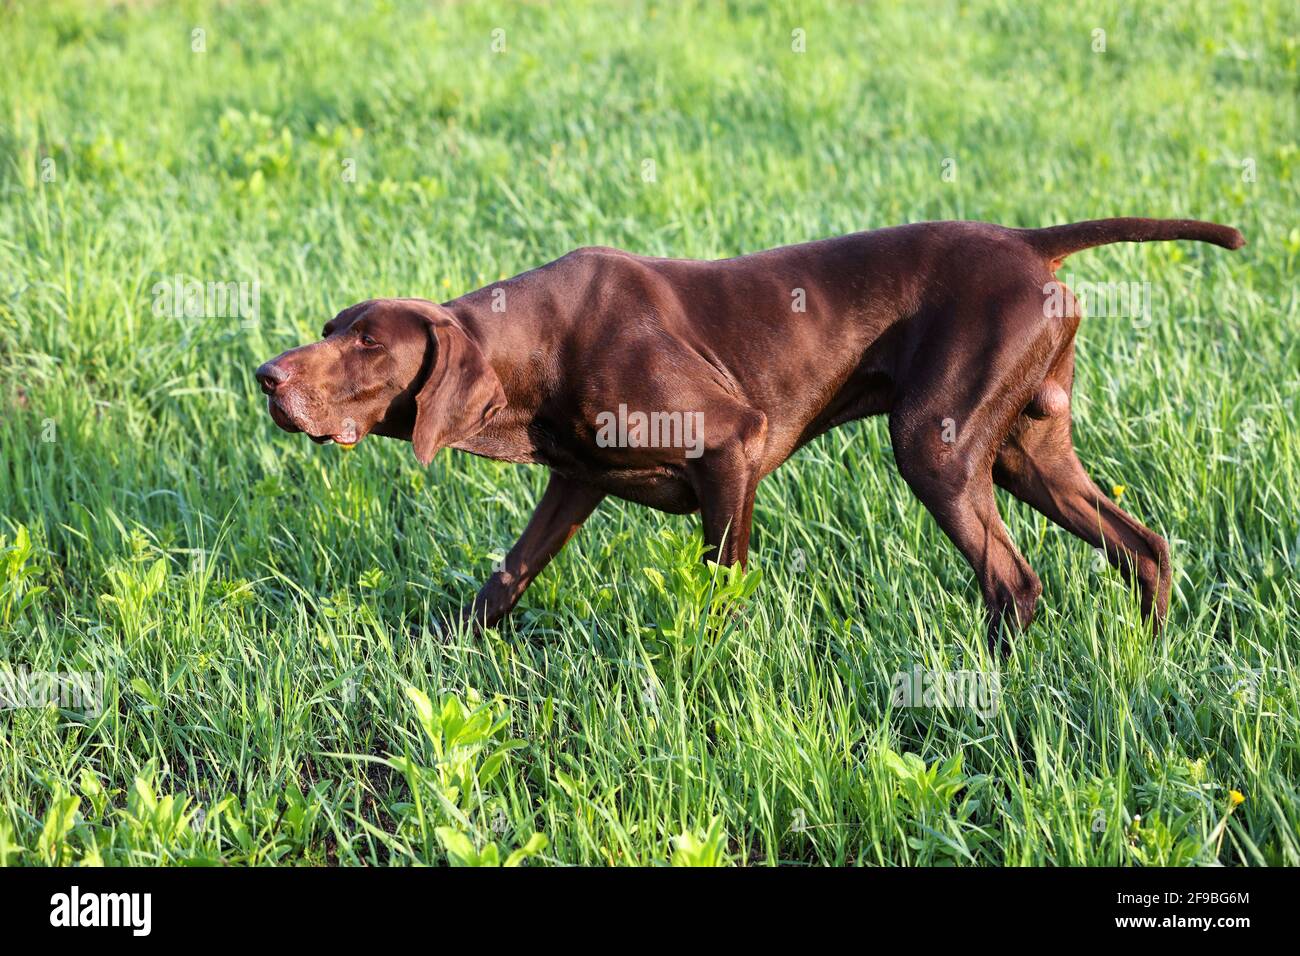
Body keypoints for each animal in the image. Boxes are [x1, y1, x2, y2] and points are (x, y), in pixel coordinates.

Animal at [258, 218, 1242, 642]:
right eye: (331, 325)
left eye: (368, 343)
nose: (267, 377)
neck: (535, 345)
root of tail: (1028, 241)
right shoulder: (573, 483)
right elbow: (503, 581)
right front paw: (432, 654)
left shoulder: (730, 447)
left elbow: (717, 592)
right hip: (1022, 452)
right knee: (1143, 546)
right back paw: (1147, 657)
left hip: (938, 446)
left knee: (1016, 583)